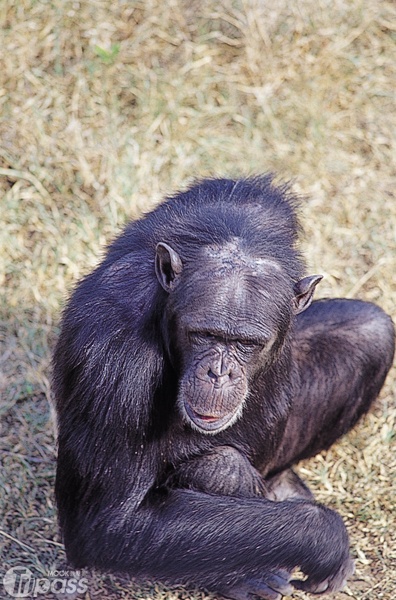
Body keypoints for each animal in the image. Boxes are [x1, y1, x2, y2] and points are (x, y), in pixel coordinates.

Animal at [52, 176, 392, 600]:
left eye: (246, 343)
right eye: (204, 334)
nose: (219, 372)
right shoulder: (113, 357)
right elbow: (108, 524)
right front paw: (324, 536)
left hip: (273, 456)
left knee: (368, 330)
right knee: (222, 467)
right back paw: (245, 575)